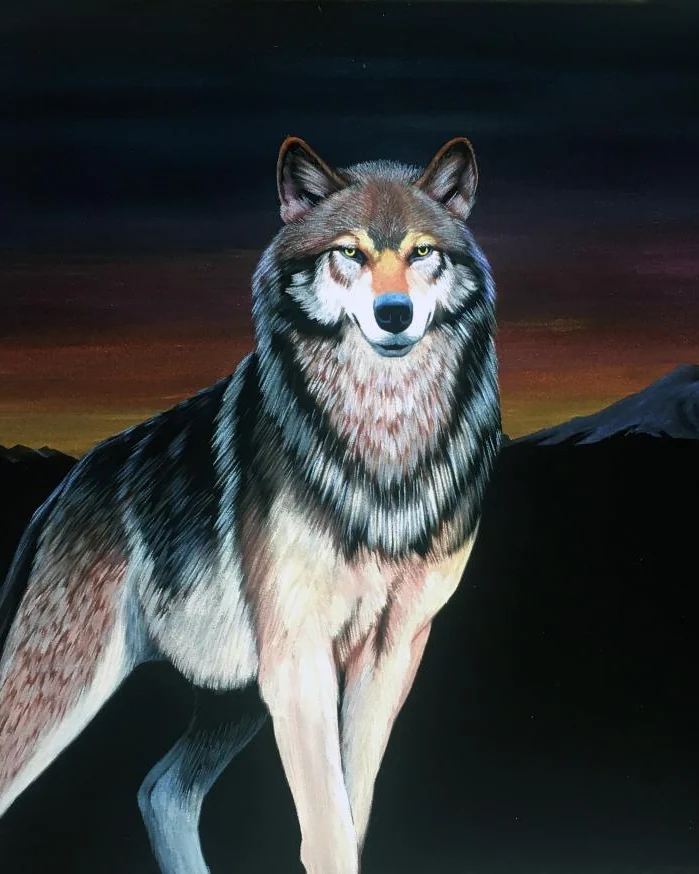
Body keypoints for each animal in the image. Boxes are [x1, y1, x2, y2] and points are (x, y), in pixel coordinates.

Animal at [0, 136, 501, 874]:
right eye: (348, 252)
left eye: (420, 252)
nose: (393, 314)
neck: (381, 448)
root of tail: (68, 484)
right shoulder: (299, 657)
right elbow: (326, 827)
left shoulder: (391, 652)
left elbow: (352, 813)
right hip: (72, 686)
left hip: (234, 700)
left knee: (161, 790)